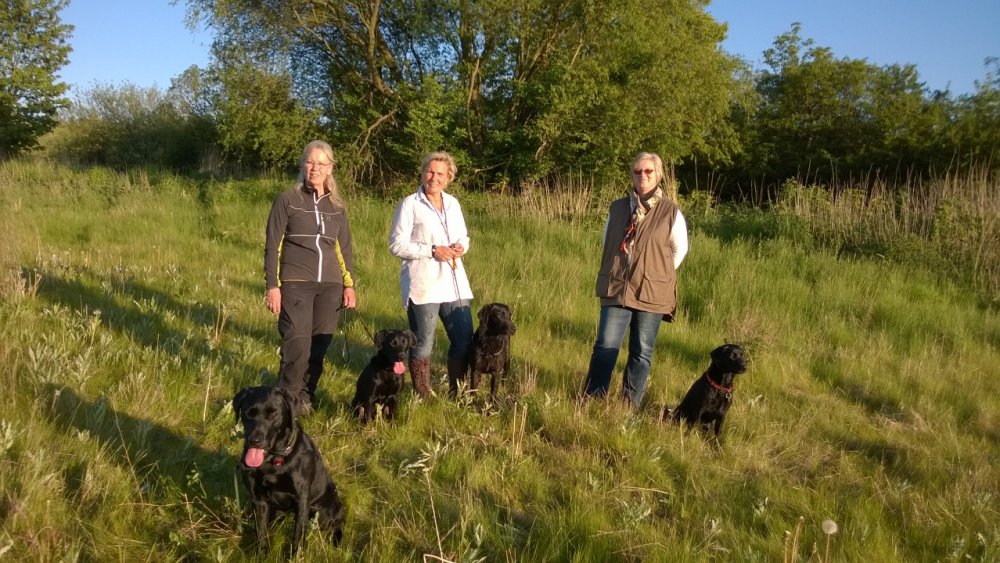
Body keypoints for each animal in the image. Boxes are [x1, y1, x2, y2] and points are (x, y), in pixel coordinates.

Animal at [233, 386, 345, 552]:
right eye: (248, 412)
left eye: (273, 413)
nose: (254, 440)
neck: (273, 461)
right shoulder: (259, 500)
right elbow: (261, 532)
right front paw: (261, 553)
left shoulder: (301, 500)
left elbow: (298, 534)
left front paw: (295, 555)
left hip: (323, 512)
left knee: (336, 526)